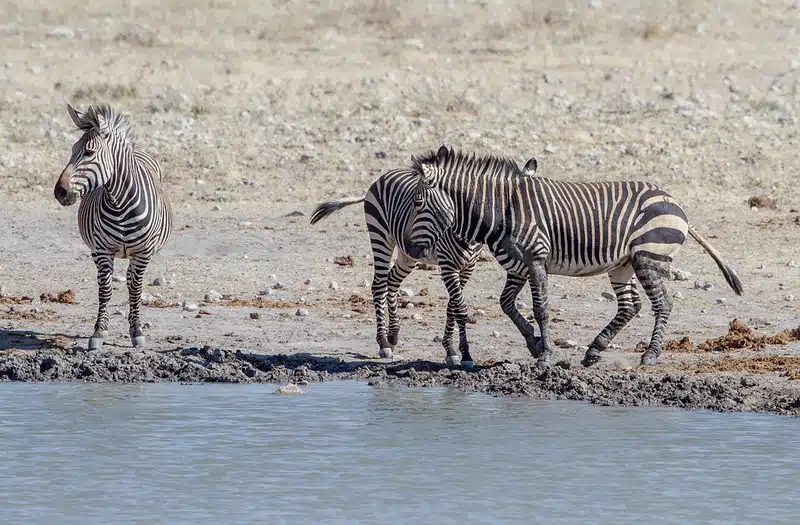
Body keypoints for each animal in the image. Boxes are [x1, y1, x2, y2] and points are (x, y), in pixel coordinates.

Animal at [53, 104, 173, 350]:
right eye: (72, 150)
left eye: (89, 153)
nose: (59, 192)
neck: (121, 204)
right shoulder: (102, 251)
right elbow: (105, 290)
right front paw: (99, 331)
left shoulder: (143, 253)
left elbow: (135, 290)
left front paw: (136, 331)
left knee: (131, 281)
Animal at [310, 165, 541, 368]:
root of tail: (383, 175)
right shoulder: (448, 265)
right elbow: (459, 307)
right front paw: (465, 354)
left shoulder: (467, 267)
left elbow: (452, 306)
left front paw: (450, 350)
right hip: (381, 236)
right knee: (379, 285)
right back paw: (384, 343)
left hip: (407, 255)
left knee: (392, 280)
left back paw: (393, 335)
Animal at [406, 145, 743, 370]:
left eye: (419, 202)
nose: (409, 249)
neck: (503, 209)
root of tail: (675, 202)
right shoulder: (517, 266)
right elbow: (506, 304)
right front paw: (535, 344)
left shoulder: (535, 260)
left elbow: (541, 309)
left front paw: (545, 358)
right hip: (623, 265)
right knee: (630, 305)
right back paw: (595, 350)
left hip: (648, 258)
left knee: (663, 304)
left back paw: (650, 355)